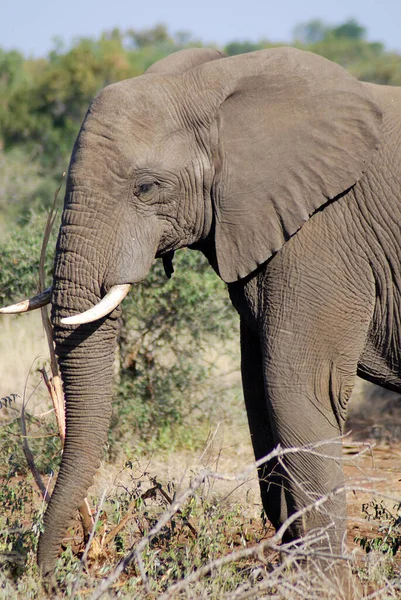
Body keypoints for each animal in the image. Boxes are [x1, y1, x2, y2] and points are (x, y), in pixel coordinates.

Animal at [3, 43, 400, 576]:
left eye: (146, 188)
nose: (50, 574)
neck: (219, 87)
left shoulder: (326, 233)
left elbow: (298, 386)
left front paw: (320, 582)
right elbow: (258, 391)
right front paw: (285, 574)